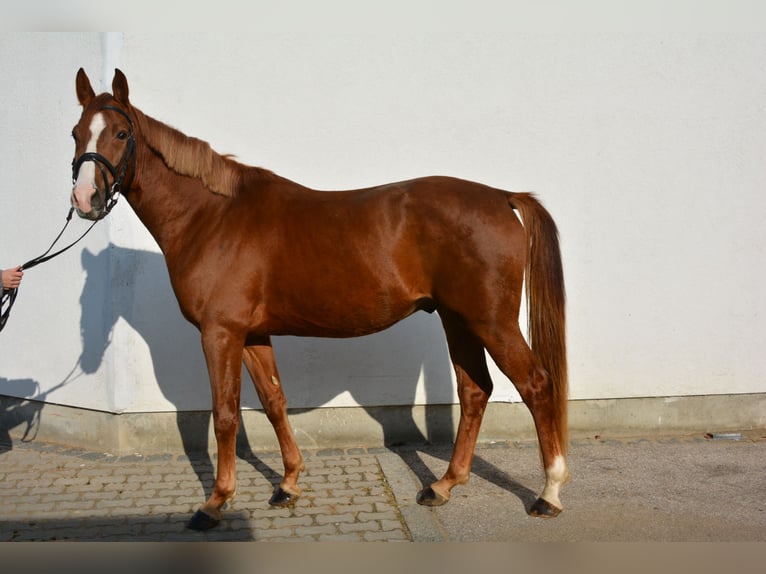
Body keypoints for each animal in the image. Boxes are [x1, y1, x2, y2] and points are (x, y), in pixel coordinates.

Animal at [70, 70, 568, 532]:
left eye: (120, 133)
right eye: (76, 132)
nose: (84, 198)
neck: (212, 217)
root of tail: (502, 198)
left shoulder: (220, 333)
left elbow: (225, 415)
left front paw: (214, 503)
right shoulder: (253, 334)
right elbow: (274, 401)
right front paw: (287, 484)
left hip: (491, 321)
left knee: (536, 385)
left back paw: (549, 494)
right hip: (457, 319)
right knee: (474, 390)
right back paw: (443, 486)